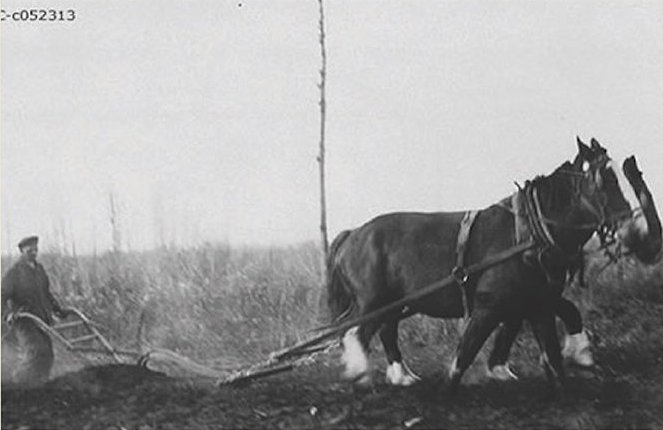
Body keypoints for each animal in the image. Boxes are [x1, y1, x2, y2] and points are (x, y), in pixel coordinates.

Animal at [326, 138, 657, 394]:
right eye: (605, 180)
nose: (644, 235)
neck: (527, 233)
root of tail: (352, 234)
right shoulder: (490, 304)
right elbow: (466, 352)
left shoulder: (537, 300)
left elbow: (557, 333)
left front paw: (573, 363)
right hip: (372, 301)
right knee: (357, 331)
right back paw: (360, 373)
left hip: (395, 302)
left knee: (385, 330)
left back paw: (401, 375)